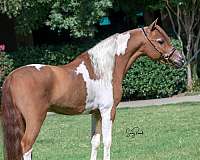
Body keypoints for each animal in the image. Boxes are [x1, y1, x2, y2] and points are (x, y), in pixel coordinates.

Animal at [0, 19, 184, 160]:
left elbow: (95, 142)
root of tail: (12, 76)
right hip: (35, 119)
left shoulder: (95, 112)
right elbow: (107, 141)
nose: (180, 59)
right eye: (160, 41)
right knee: (27, 146)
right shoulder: (108, 110)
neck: (103, 69)